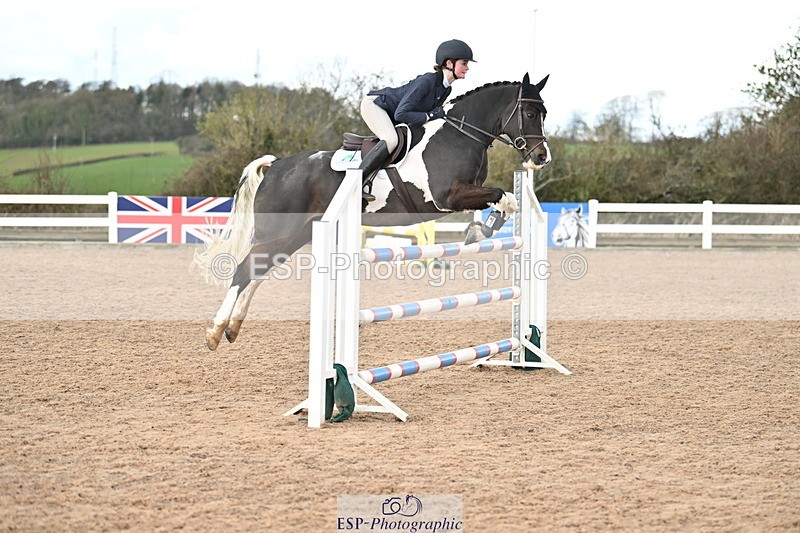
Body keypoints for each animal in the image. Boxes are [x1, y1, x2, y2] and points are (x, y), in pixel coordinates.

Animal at [195, 73, 552, 350]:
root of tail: (277, 165)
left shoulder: (466, 193)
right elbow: (502, 196)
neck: (460, 135)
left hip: (294, 235)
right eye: (530, 113)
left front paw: (480, 230)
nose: (541, 157)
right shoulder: (447, 197)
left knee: (256, 272)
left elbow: (507, 200)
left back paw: (232, 328)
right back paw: (215, 332)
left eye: (544, 113)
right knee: (244, 270)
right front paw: (479, 231)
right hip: (279, 231)